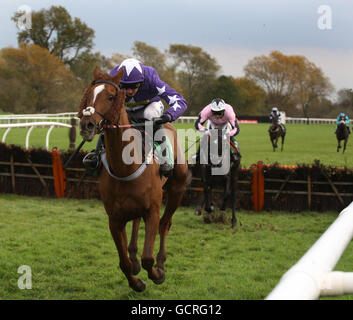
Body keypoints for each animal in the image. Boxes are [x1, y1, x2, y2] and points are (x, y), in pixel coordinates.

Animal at [76, 67, 187, 292]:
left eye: (111, 96)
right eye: (88, 95)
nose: (86, 124)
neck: (125, 167)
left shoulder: (152, 210)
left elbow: (148, 258)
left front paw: (157, 274)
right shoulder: (114, 218)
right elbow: (123, 262)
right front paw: (136, 282)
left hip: (177, 189)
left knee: (165, 224)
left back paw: (161, 262)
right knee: (136, 222)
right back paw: (134, 255)